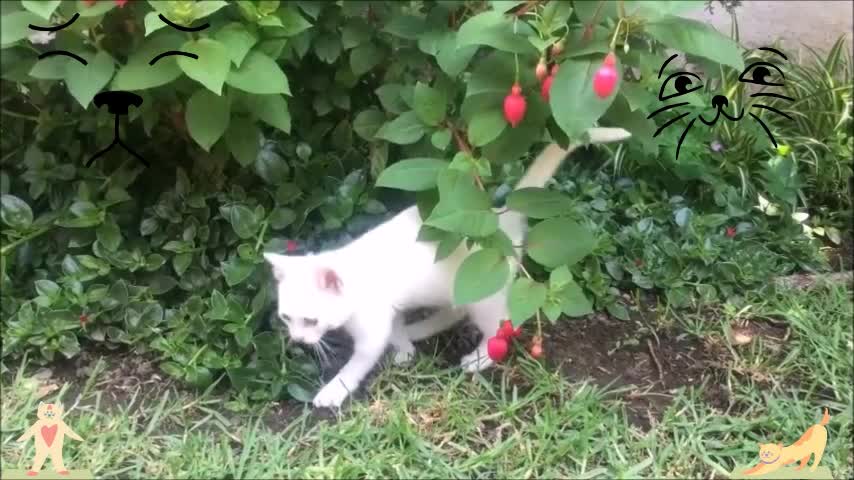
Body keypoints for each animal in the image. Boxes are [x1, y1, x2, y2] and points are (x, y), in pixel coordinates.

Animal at [264, 127, 632, 408]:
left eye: (311, 321)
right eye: (286, 317)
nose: (297, 339)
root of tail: (501, 222)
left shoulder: (372, 325)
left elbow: (360, 361)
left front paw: (334, 391)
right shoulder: (389, 310)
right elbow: (396, 328)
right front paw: (404, 350)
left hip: (484, 293)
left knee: (500, 325)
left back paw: (478, 359)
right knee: (455, 310)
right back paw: (421, 330)